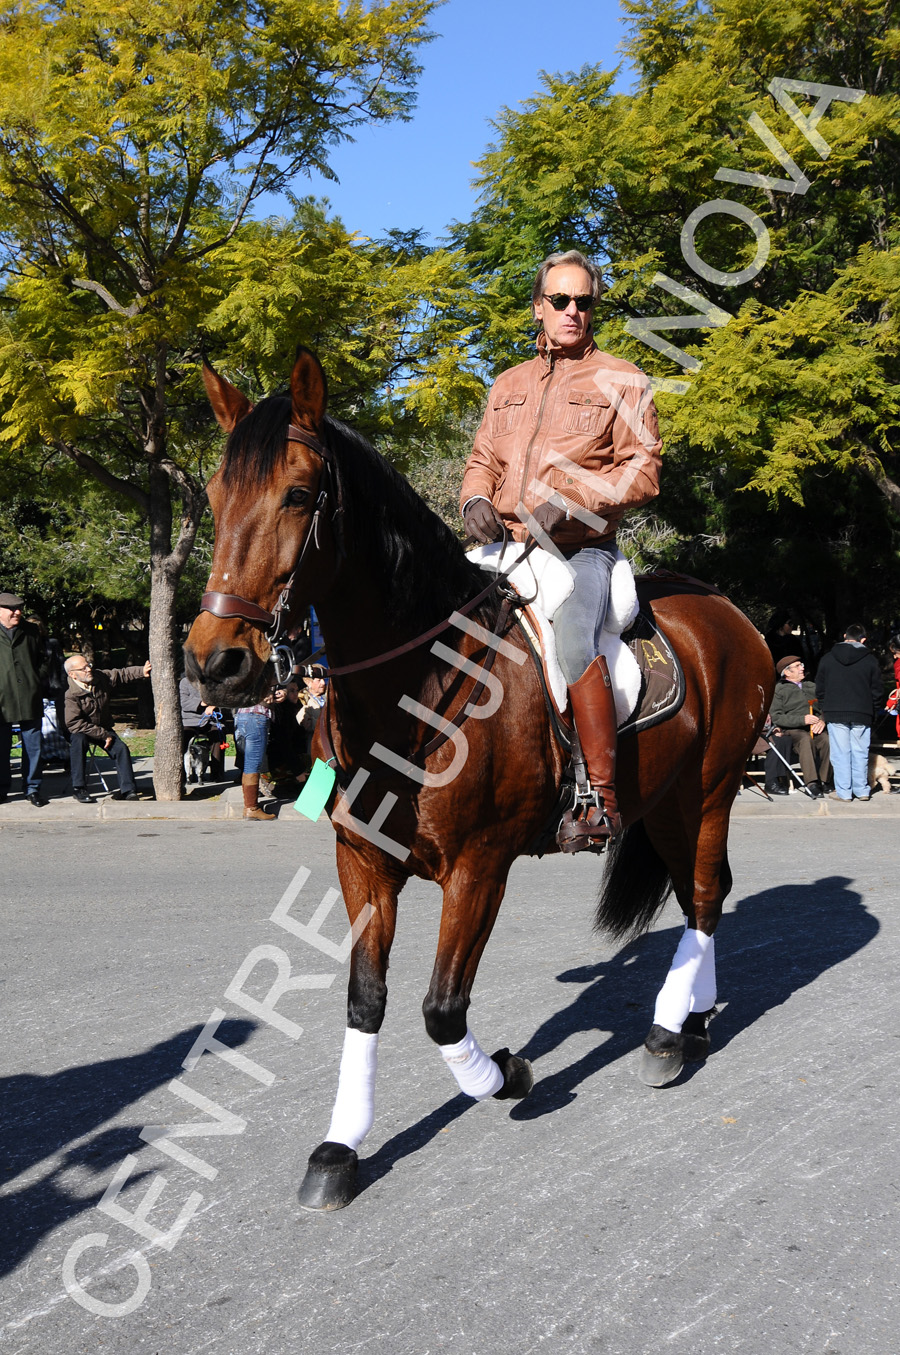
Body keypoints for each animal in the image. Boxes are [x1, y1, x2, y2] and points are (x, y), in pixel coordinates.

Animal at [184, 346, 775, 1208]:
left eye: (297, 493)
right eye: (214, 495)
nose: (216, 661)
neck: (421, 685)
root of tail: (730, 613)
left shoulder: (479, 867)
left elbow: (440, 1006)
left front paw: (506, 1073)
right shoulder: (363, 863)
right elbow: (366, 998)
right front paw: (339, 1147)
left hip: (709, 791)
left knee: (702, 894)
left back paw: (669, 1034)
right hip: (667, 803)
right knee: (707, 890)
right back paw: (694, 1018)